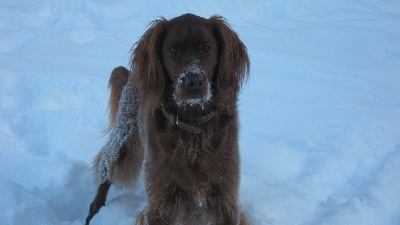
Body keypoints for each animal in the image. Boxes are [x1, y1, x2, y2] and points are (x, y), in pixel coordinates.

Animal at [86, 14, 250, 225]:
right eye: (173, 49)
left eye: (206, 48)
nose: (194, 82)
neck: (192, 126)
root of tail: (133, 73)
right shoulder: (160, 202)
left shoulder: (224, 197)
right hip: (126, 136)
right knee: (106, 164)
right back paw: (94, 211)